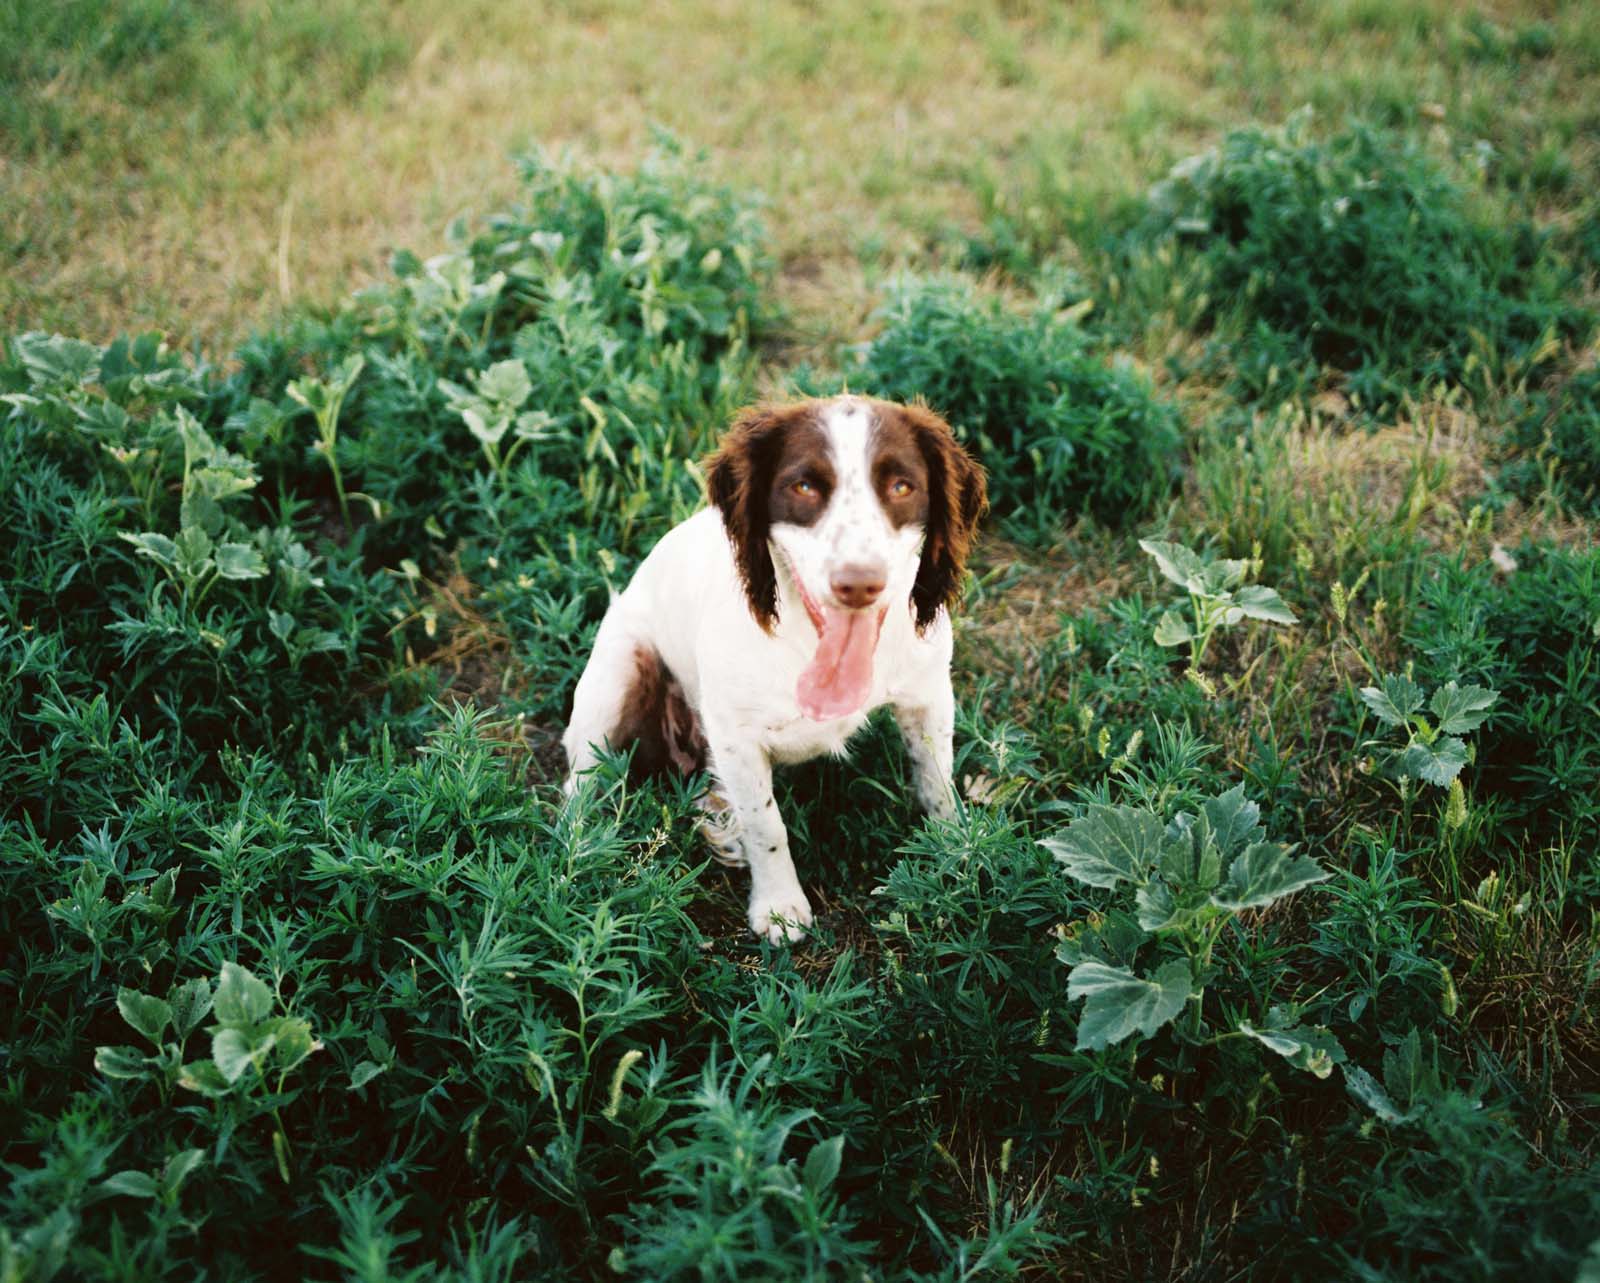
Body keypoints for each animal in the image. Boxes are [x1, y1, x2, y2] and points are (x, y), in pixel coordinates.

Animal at [563, 395, 985, 947]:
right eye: (803, 486)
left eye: (901, 486)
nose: (859, 583)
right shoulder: (736, 737)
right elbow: (767, 826)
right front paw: (780, 907)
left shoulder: (928, 693)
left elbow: (937, 780)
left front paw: (955, 852)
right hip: (615, 677)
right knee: (578, 786)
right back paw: (583, 851)